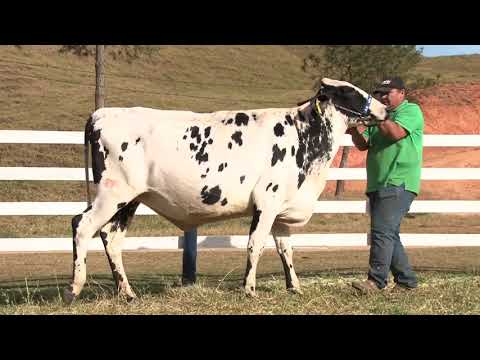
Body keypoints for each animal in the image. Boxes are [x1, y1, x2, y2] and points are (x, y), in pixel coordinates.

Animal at [62, 79, 386, 304]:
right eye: (349, 92)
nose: (383, 108)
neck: (304, 139)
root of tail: (102, 113)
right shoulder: (267, 201)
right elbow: (256, 245)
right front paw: (249, 290)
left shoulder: (281, 208)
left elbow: (286, 250)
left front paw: (294, 288)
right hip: (112, 193)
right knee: (82, 225)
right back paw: (74, 289)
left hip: (131, 199)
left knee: (111, 236)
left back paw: (127, 293)